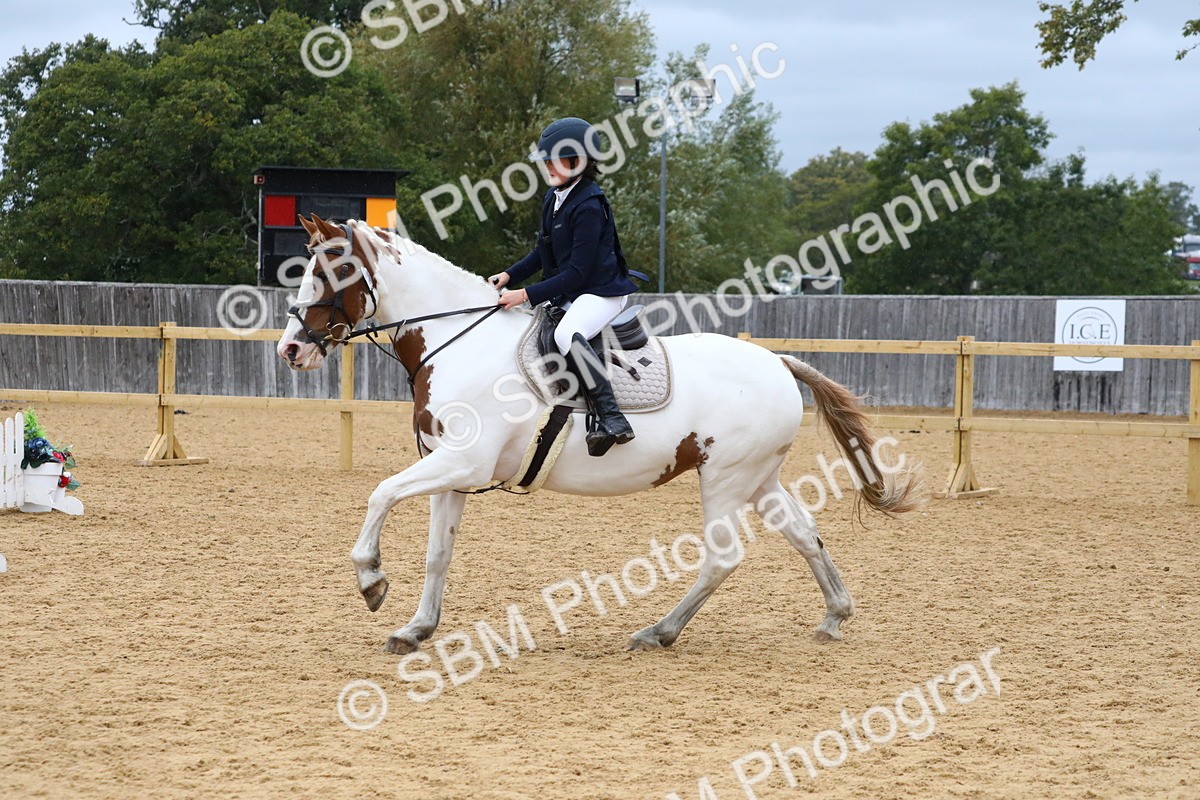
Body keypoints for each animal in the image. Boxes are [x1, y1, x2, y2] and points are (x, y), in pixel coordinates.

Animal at [276, 215, 922, 654]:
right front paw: (416, 628)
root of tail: (778, 362)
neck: (458, 342)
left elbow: (379, 493)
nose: (291, 349)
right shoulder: (451, 472)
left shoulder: (464, 463)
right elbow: (439, 553)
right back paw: (835, 615)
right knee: (806, 535)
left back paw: (658, 631)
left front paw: (371, 580)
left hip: (725, 478)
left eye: (334, 269)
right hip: (759, 478)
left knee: (721, 558)